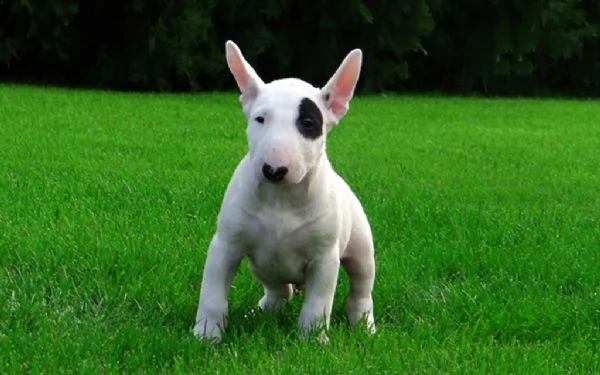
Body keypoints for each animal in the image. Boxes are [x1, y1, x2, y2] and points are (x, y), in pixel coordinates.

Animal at [193, 41, 376, 344]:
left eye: (308, 123)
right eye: (260, 119)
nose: (273, 170)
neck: (281, 199)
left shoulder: (325, 259)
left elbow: (317, 304)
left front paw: (312, 340)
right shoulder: (225, 246)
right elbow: (212, 294)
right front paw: (206, 334)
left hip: (362, 248)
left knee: (361, 289)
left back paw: (364, 325)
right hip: (264, 267)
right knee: (279, 291)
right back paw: (261, 312)